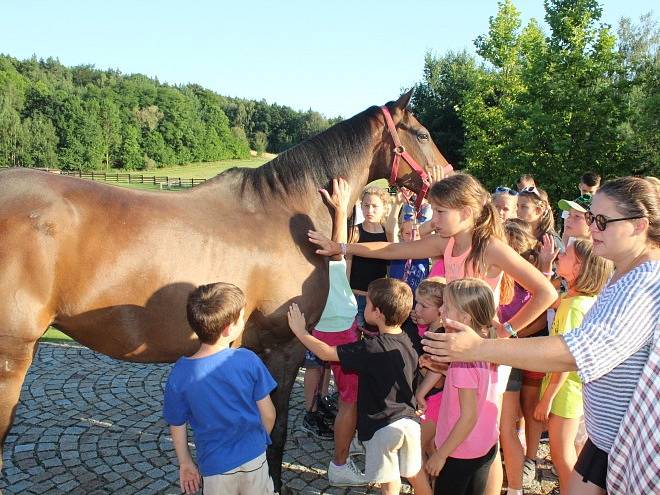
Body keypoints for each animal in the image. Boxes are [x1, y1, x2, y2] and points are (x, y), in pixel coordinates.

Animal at [0, 91, 448, 490]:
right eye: (423, 134)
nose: (449, 178)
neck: (286, 210)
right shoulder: (283, 346)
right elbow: (276, 431)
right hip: (12, 357)